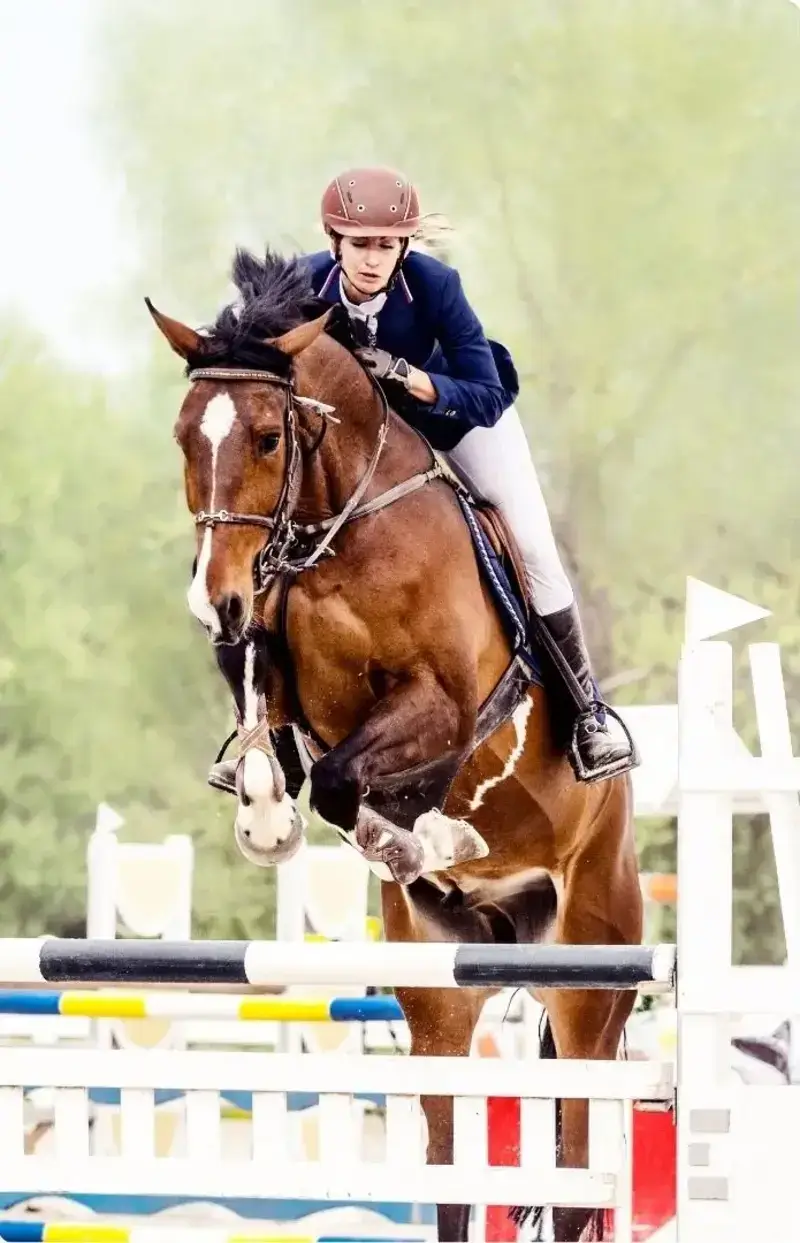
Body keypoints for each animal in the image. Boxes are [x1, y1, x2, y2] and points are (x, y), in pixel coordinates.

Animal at [147, 249, 643, 1242]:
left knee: (578, 1171)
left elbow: (347, 782)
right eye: (185, 436)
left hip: (590, 982)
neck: (344, 533)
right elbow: (271, 735)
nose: (212, 600)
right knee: (451, 1165)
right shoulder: (273, 657)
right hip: (441, 995)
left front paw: (423, 835)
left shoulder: (445, 707)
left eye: (269, 437)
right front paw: (269, 818)